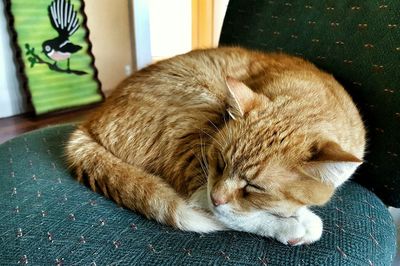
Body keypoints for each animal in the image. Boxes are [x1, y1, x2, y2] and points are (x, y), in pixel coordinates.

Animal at [66, 47, 366, 245]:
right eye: (220, 162)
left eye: (254, 187)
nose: (217, 197)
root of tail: (88, 123)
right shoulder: (207, 184)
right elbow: (236, 214)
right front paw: (295, 223)